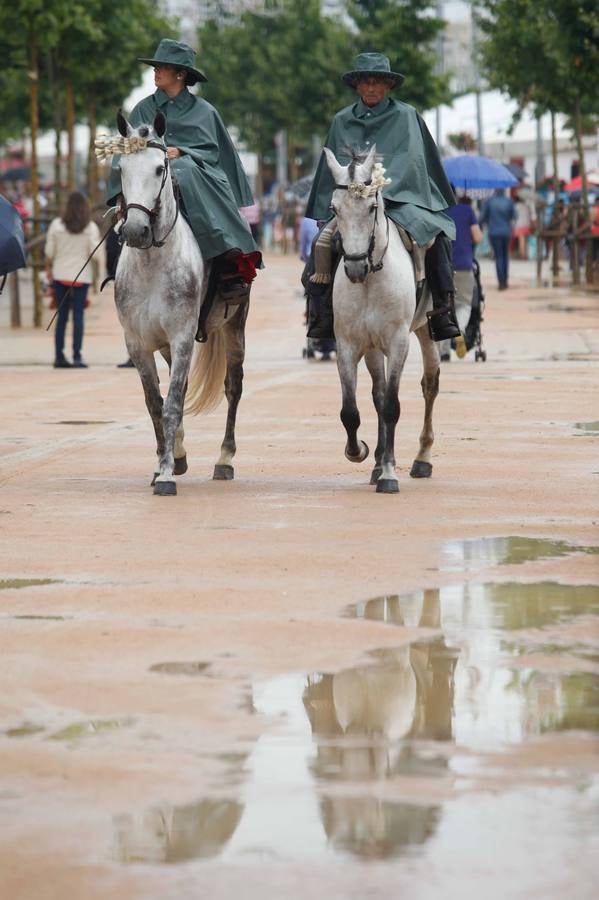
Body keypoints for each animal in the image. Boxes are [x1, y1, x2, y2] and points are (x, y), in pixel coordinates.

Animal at [107, 110, 248, 500]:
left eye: (159, 169)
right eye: (122, 169)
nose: (136, 230)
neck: (152, 263)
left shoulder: (183, 336)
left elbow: (170, 404)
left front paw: (167, 475)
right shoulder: (138, 343)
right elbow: (156, 403)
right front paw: (164, 463)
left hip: (235, 325)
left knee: (233, 387)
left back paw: (225, 459)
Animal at [324, 145, 440, 496]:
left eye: (372, 207)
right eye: (334, 208)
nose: (355, 267)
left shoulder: (398, 342)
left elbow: (392, 406)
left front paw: (389, 474)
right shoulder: (348, 346)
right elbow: (351, 410)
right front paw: (359, 452)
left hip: (426, 330)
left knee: (430, 384)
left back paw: (422, 458)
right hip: (373, 348)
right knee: (377, 394)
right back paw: (376, 463)